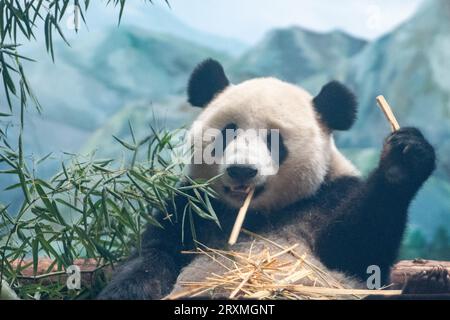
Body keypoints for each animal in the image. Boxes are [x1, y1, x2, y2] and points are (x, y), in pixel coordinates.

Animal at [97, 58, 446, 300]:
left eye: (273, 140)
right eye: (228, 132)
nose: (242, 170)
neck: (252, 214)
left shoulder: (329, 198)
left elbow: (360, 251)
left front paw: (404, 159)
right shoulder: (192, 208)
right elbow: (153, 257)